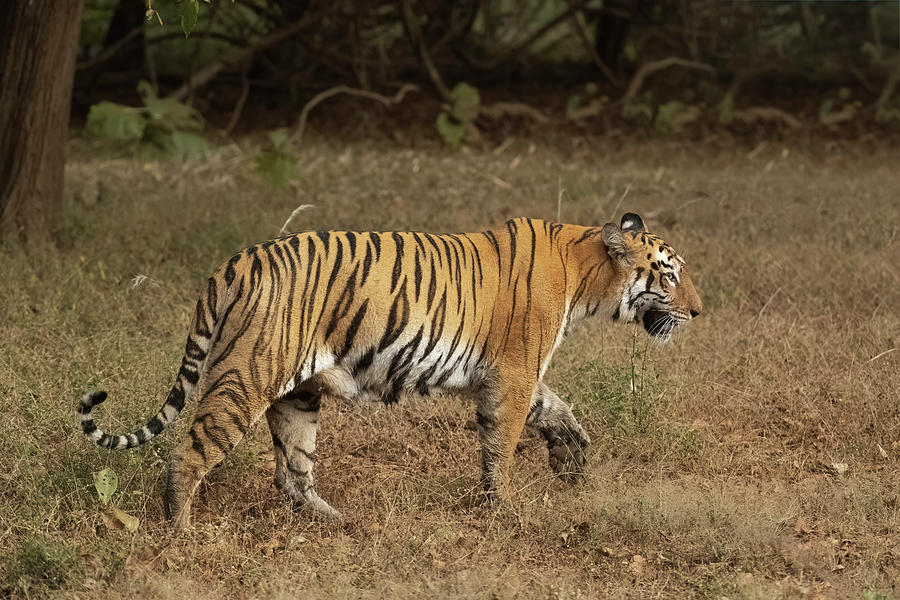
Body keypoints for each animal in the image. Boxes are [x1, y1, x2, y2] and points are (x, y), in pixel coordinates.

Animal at [79, 213, 704, 528]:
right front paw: (503, 508)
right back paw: (181, 532)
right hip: (246, 377)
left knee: (292, 473)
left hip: (298, 394)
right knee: (189, 454)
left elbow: (557, 409)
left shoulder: (516, 375)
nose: (699, 311)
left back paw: (338, 521)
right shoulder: (513, 372)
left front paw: (572, 459)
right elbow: (502, 443)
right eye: (669, 274)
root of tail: (231, 265)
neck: (586, 274)